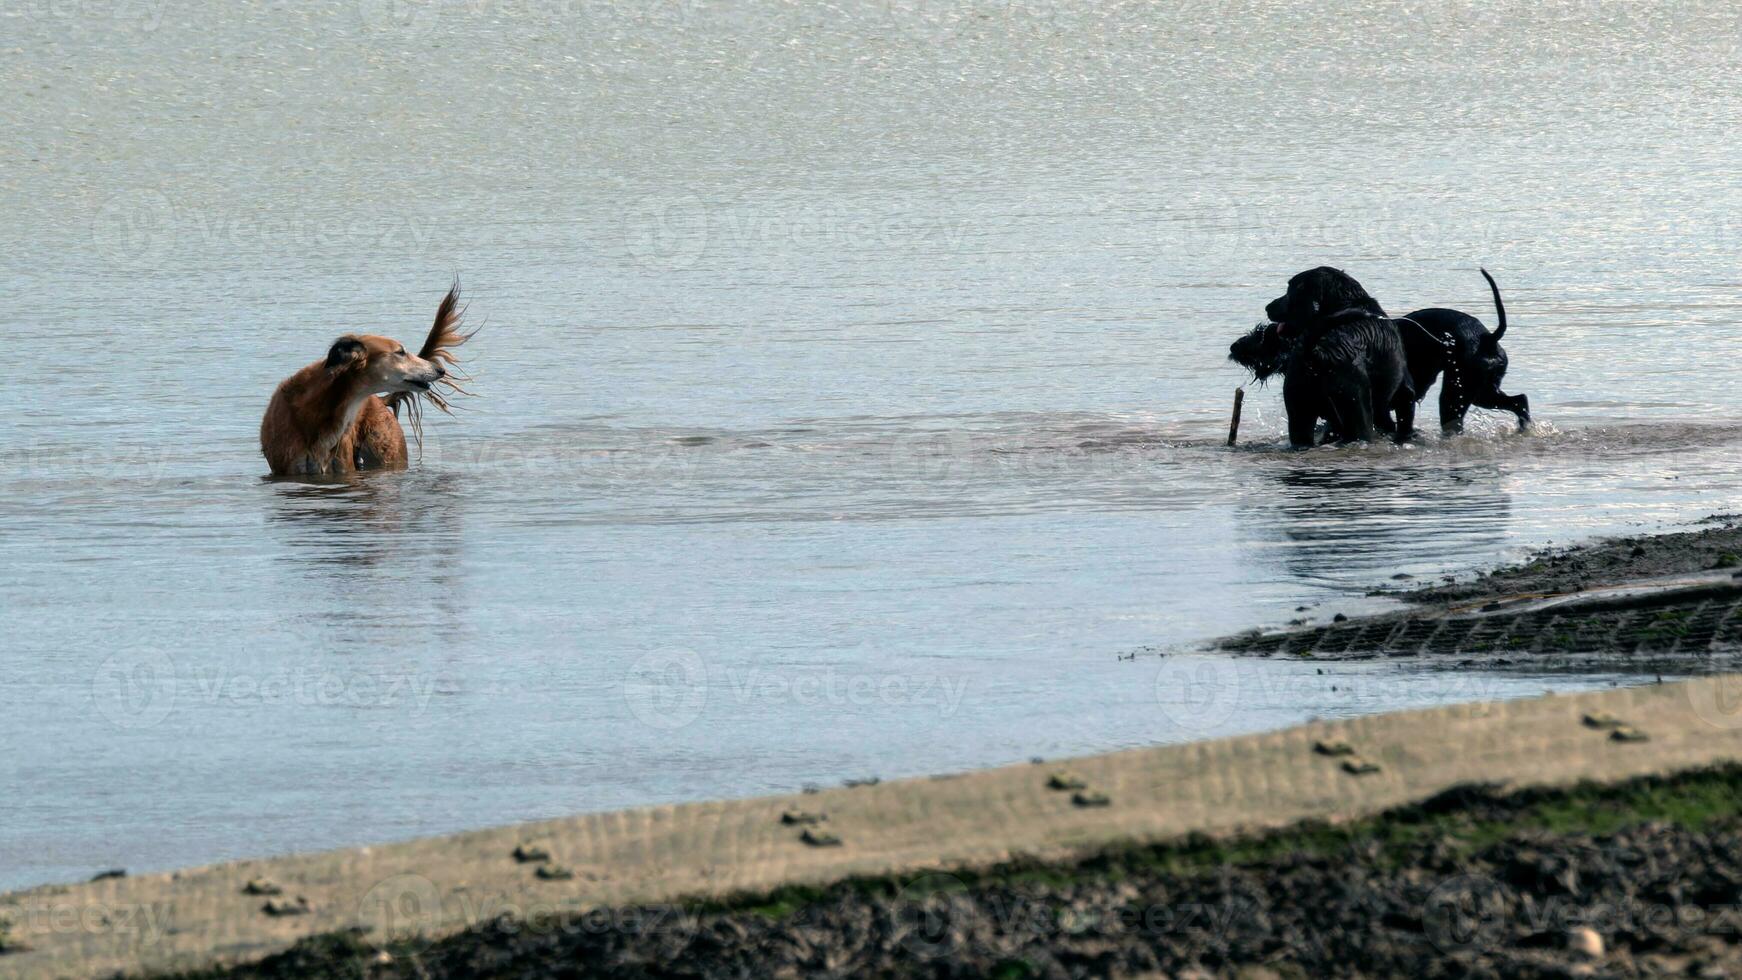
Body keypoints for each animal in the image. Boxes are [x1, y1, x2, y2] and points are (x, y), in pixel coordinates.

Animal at [1261, 266, 1421, 445]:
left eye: (1290, 290)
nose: (1267, 307)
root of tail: (1315, 352)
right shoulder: (1406, 390)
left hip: (1299, 414)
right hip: (1358, 410)